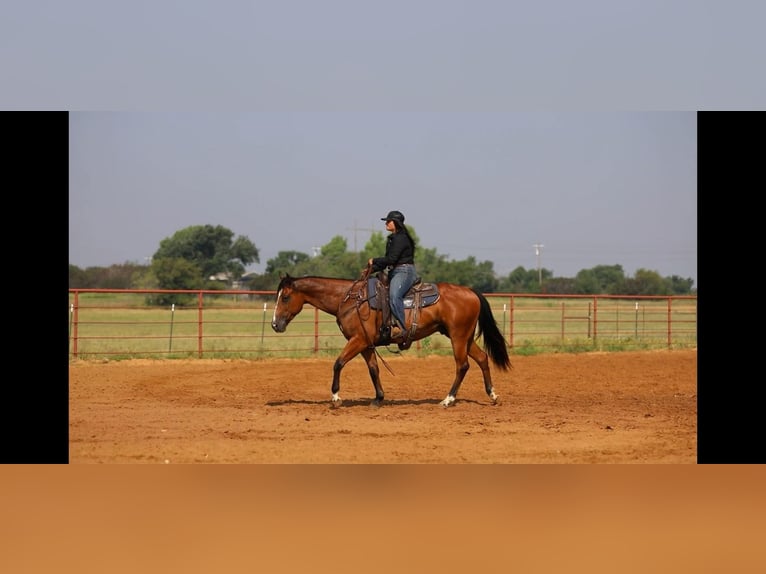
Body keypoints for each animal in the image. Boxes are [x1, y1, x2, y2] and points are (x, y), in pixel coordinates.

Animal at [272, 272, 516, 410]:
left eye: (285, 297)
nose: (275, 324)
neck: (351, 300)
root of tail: (471, 292)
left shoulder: (358, 340)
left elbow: (338, 363)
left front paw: (335, 398)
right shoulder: (366, 344)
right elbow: (374, 370)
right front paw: (378, 398)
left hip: (458, 337)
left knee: (462, 365)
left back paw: (448, 400)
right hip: (463, 337)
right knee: (482, 358)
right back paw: (492, 395)